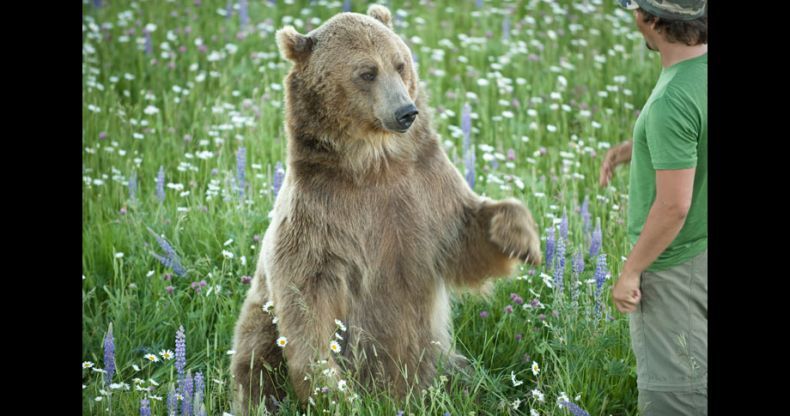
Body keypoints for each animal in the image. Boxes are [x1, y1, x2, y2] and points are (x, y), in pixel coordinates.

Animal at [229, 4, 544, 414]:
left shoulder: (424, 189)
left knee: (473, 381)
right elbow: (307, 302)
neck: (375, 164)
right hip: (261, 323)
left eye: (400, 63)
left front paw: (521, 237)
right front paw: (334, 391)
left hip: (438, 361)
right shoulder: (318, 215)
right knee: (256, 358)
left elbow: (466, 243)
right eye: (366, 72)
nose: (406, 111)